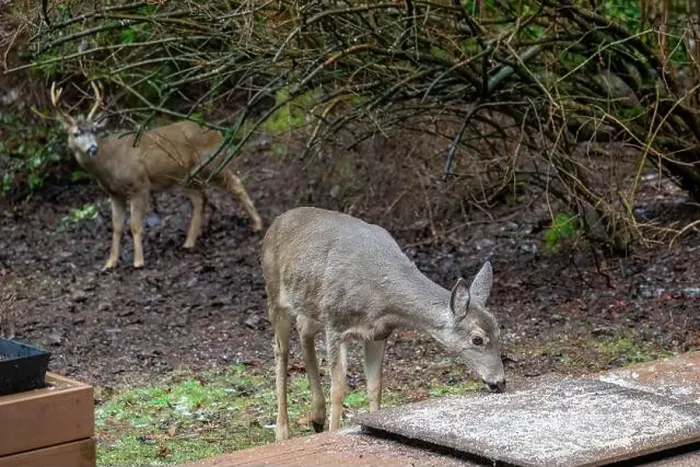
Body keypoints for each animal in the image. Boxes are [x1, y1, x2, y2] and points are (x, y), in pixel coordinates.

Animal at [50, 81, 263, 270]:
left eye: (94, 130)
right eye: (76, 133)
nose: (93, 148)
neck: (109, 165)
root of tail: (217, 132)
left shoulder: (140, 184)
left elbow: (135, 225)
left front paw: (138, 262)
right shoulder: (114, 194)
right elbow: (116, 227)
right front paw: (109, 263)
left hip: (211, 163)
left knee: (235, 183)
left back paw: (258, 225)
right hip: (185, 177)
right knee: (200, 199)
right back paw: (189, 242)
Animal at [262, 206, 506, 441]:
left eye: (498, 330)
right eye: (477, 339)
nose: (500, 382)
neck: (380, 299)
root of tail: (275, 223)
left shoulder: (378, 333)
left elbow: (375, 386)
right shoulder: (335, 324)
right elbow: (338, 388)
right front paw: (334, 431)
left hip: (311, 303)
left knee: (303, 327)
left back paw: (317, 417)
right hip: (275, 293)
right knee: (280, 350)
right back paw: (283, 431)